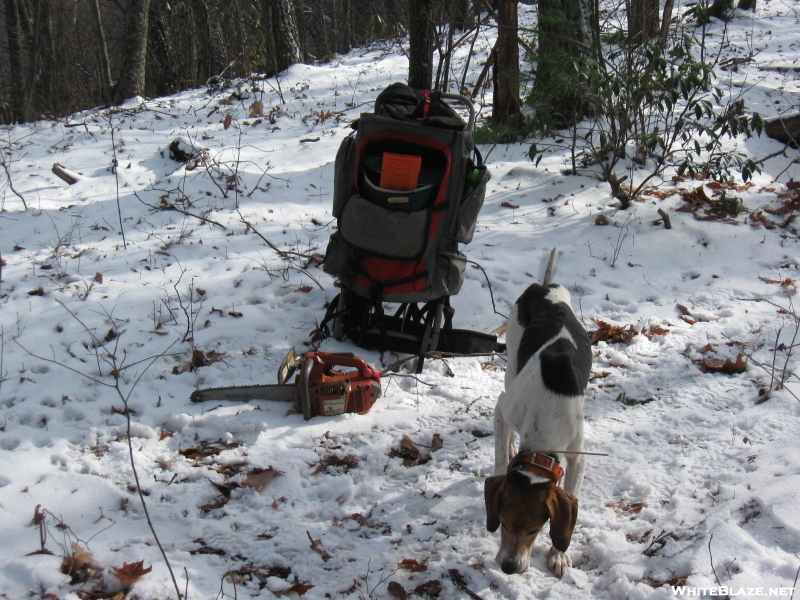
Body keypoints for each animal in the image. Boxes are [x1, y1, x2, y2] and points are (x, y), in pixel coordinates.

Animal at [484, 284, 592, 580]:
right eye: (503, 523)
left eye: (535, 529)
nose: (509, 567)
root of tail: (545, 286)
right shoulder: (502, 410)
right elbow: (500, 461)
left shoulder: (577, 455)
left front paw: (559, 555)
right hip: (512, 363)